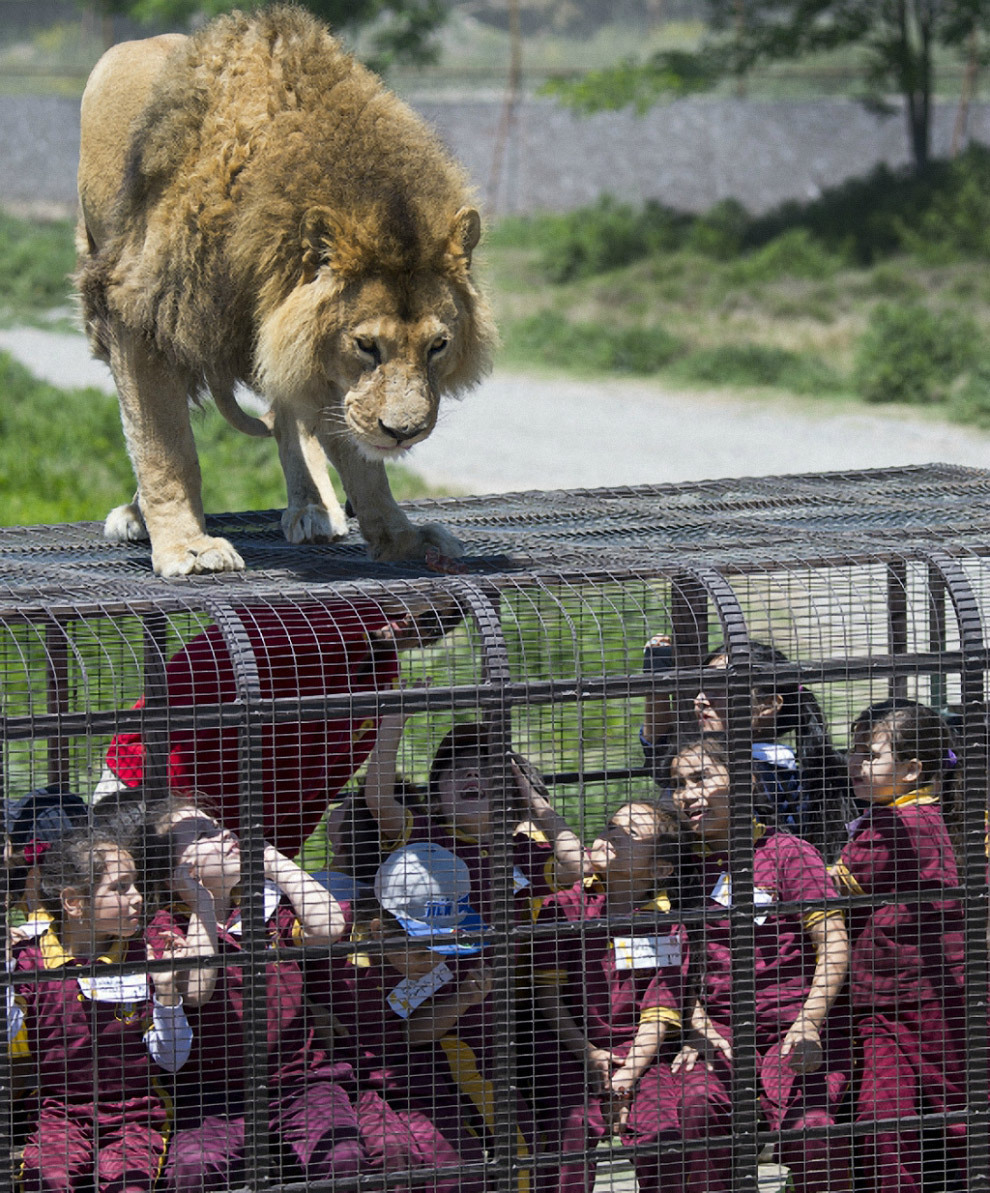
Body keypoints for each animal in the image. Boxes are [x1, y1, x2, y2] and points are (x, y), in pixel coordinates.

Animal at [75, 4, 496, 572]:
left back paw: (314, 508)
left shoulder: (315, 351)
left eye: (438, 346)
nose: (404, 432)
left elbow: (359, 459)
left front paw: (400, 538)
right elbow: (164, 446)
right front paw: (188, 546)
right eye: (366, 345)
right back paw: (139, 515)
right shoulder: (138, 314)